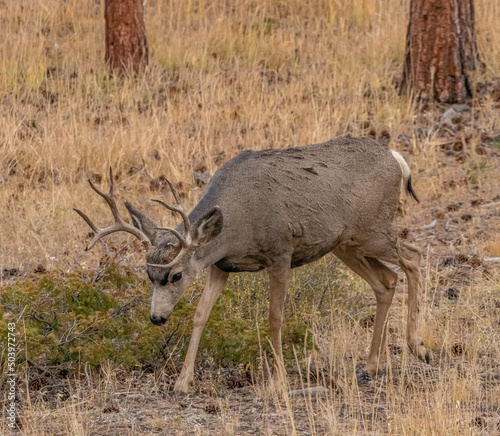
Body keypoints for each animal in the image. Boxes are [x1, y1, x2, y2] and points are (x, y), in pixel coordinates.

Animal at [75, 135, 430, 394]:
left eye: (176, 275)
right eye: (148, 274)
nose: (157, 318)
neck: (237, 223)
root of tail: (396, 159)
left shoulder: (281, 252)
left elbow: (274, 317)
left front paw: (279, 381)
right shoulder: (220, 265)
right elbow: (200, 316)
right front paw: (181, 382)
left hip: (374, 229)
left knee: (413, 257)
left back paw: (417, 347)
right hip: (346, 244)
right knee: (386, 281)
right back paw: (370, 365)